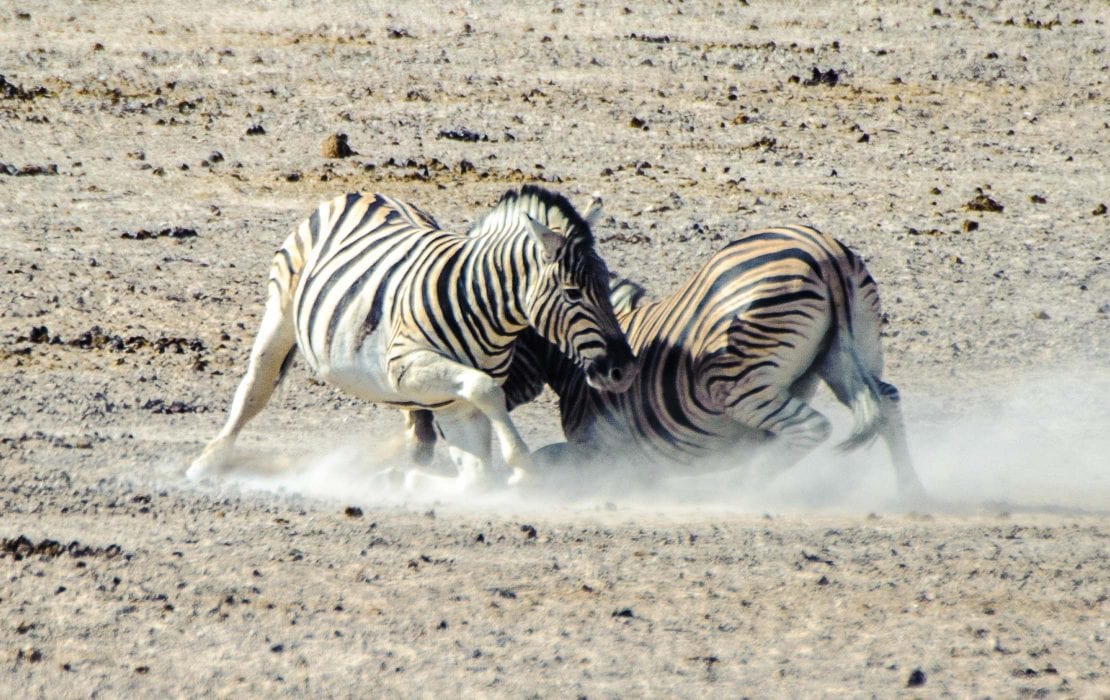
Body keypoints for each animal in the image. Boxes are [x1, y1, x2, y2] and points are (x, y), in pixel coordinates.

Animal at [187, 187, 639, 492]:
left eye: (606, 285)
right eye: (573, 293)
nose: (625, 370)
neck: (483, 305)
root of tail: (361, 192)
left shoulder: (451, 403)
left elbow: (477, 475)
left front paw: (404, 480)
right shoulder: (405, 367)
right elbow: (486, 389)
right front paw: (522, 463)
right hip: (280, 314)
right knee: (255, 387)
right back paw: (207, 462)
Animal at [477, 222, 927, 499]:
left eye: (499, 345)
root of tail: (824, 250)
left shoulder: (606, 454)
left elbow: (546, 461)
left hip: (735, 381)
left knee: (811, 428)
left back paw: (739, 493)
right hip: (848, 357)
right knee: (886, 400)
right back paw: (911, 492)